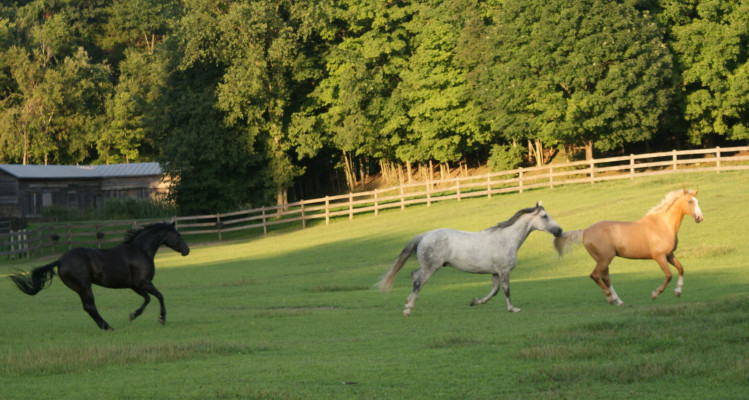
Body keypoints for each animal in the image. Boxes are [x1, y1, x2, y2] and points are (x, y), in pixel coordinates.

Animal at [9, 222, 190, 330]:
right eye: (178, 235)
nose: (187, 250)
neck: (140, 251)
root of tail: (60, 261)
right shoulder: (143, 283)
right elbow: (159, 296)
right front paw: (162, 318)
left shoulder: (136, 286)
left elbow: (147, 299)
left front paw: (133, 315)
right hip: (84, 286)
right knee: (90, 307)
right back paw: (107, 327)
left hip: (80, 289)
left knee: (88, 308)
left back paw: (105, 326)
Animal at [378, 201, 563, 316]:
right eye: (545, 216)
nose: (559, 230)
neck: (506, 238)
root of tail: (424, 235)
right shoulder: (504, 271)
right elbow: (506, 291)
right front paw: (513, 309)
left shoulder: (496, 273)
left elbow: (494, 291)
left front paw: (475, 302)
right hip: (431, 268)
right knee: (418, 281)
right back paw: (408, 309)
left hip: (428, 267)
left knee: (414, 276)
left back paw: (408, 301)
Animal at [554, 189, 703, 305]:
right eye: (690, 202)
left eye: (698, 201)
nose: (700, 218)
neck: (662, 225)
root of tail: (585, 231)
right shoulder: (659, 257)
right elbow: (669, 275)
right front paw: (655, 294)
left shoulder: (669, 255)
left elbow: (681, 269)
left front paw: (678, 291)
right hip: (605, 258)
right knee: (595, 275)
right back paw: (610, 298)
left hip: (602, 260)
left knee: (605, 277)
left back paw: (618, 300)